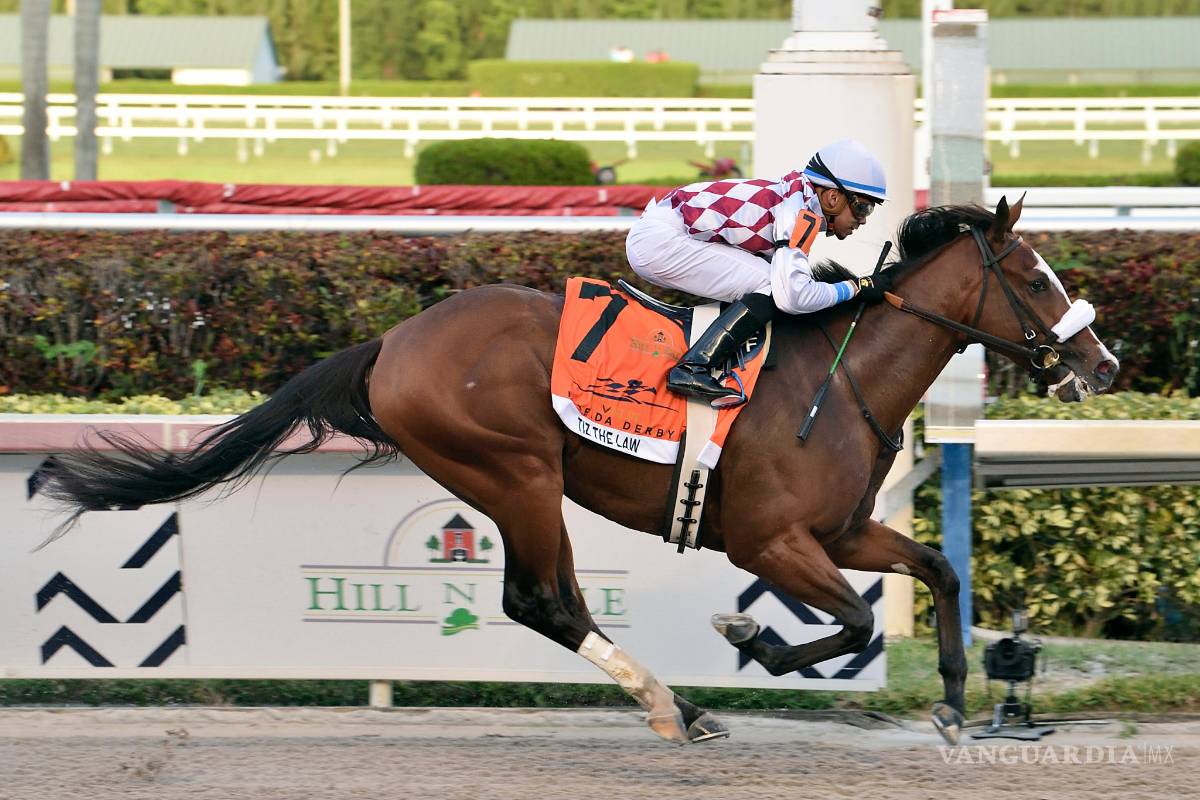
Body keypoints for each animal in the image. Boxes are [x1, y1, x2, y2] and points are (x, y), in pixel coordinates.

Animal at [42, 196, 1118, 746]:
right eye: (1034, 276)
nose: (1101, 364)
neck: (840, 375)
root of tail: (393, 341)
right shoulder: (772, 539)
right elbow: (849, 620)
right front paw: (752, 637)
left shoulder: (845, 528)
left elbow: (938, 570)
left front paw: (952, 703)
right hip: (512, 471)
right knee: (540, 599)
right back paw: (675, 705)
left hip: (523, 481)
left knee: (554, 600)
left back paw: (677, 702)